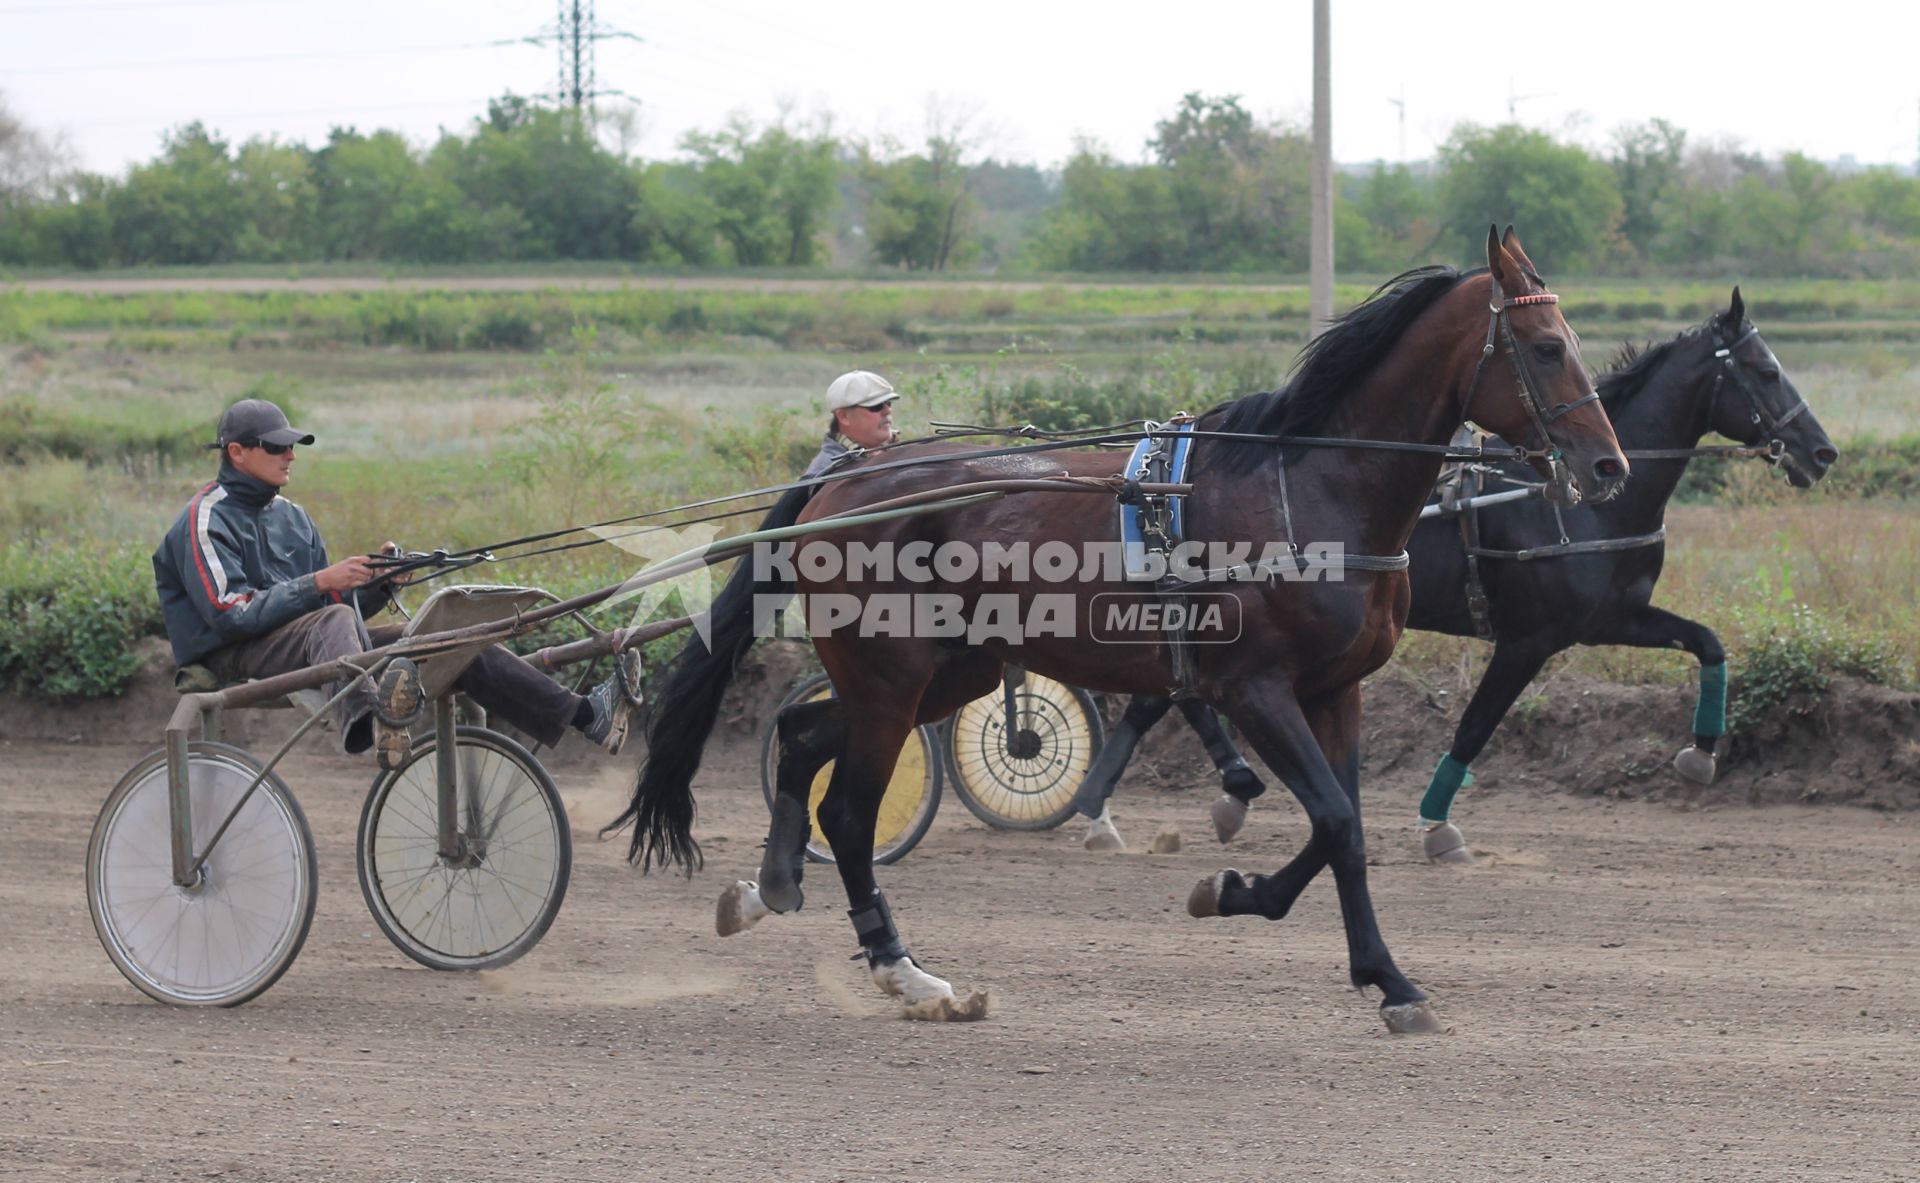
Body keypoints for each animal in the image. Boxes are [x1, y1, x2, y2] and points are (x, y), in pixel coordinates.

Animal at [606, 226, 1628, 1029]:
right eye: (1545, 345)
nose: (1609, 466)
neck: (1310, 488)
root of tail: (844, 481)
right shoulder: (1252, 686)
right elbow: (1334, 818)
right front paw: (1272, 908)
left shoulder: (1336, 690)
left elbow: (1344, 827)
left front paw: (1351, 956)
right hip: (891, 675)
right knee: (850, 812)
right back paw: (906, 970)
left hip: (945, 671)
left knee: (801, 733)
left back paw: (772, 883)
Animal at [1082, 286, 1843, 860]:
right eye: (1765, 370)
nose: (1823, 451)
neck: (1575, 506)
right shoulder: (1531, 638)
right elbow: (1476, 725)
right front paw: (1437, 823)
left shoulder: (1611, 617)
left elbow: (1708, 642)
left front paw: (1701, 754)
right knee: (1164, 696)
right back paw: (1117, 809)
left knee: (1167, 694)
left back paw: (1168, 798)